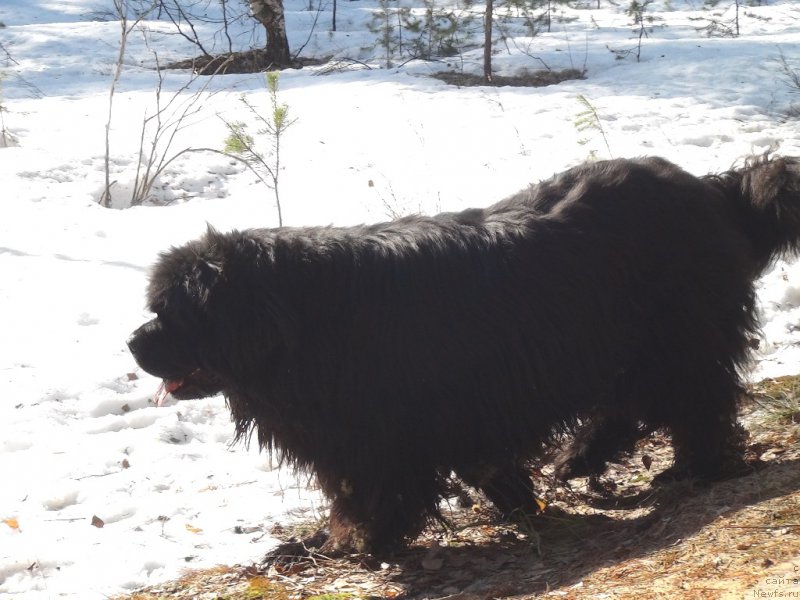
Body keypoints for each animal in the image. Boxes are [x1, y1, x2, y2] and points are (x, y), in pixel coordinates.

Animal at [128, 155, 800, 552]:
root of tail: (711, 188)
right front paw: (517, 500)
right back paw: (578, 459)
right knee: (630, 405)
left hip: (675, 335)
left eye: (171, 314)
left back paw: (692, 467)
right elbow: (475, 465)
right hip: (628, 342)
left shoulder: (377, 432)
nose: (132, 342)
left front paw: (357, 543)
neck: (300, 320)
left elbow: (372, 491)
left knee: (695, 400)